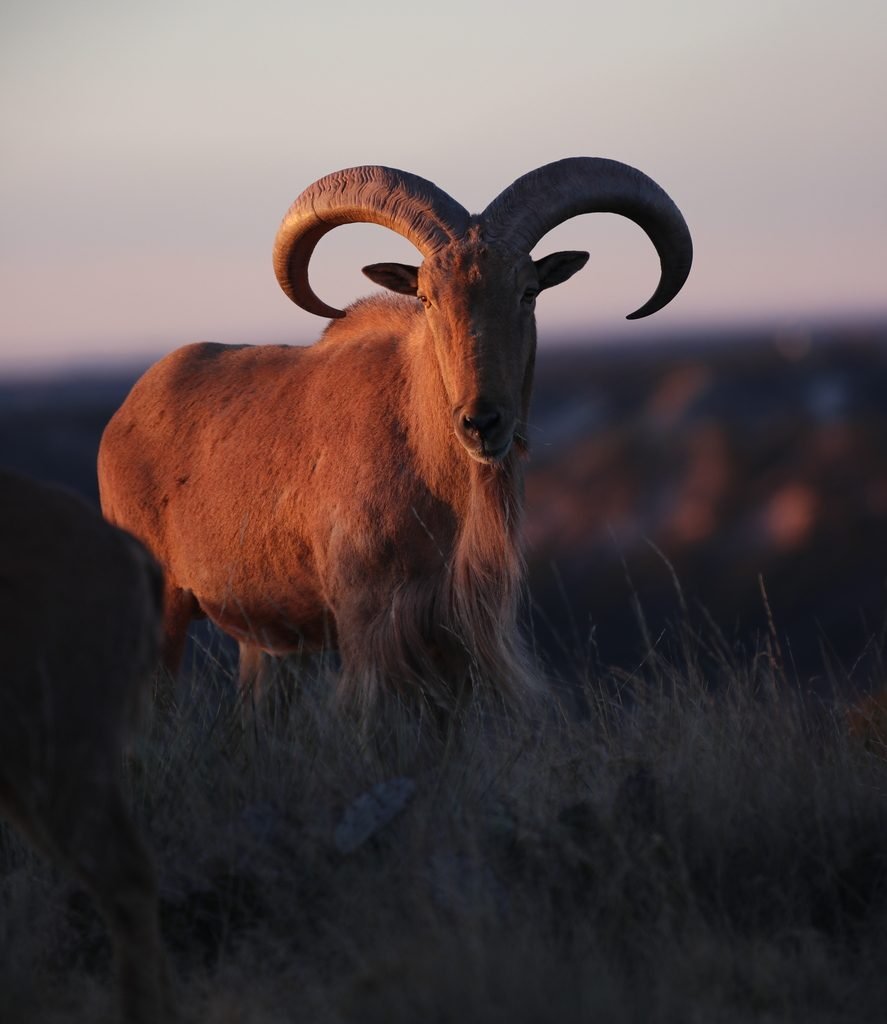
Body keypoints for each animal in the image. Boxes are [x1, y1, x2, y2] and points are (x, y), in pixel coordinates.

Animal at [98, 158, 692, 711]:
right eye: (427, 296)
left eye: (528, 291)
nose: (482, 423)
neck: (425, 460)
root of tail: (122, 418)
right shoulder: (367, 626)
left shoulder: (450, 642)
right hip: (164, 611)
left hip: (264, 642)